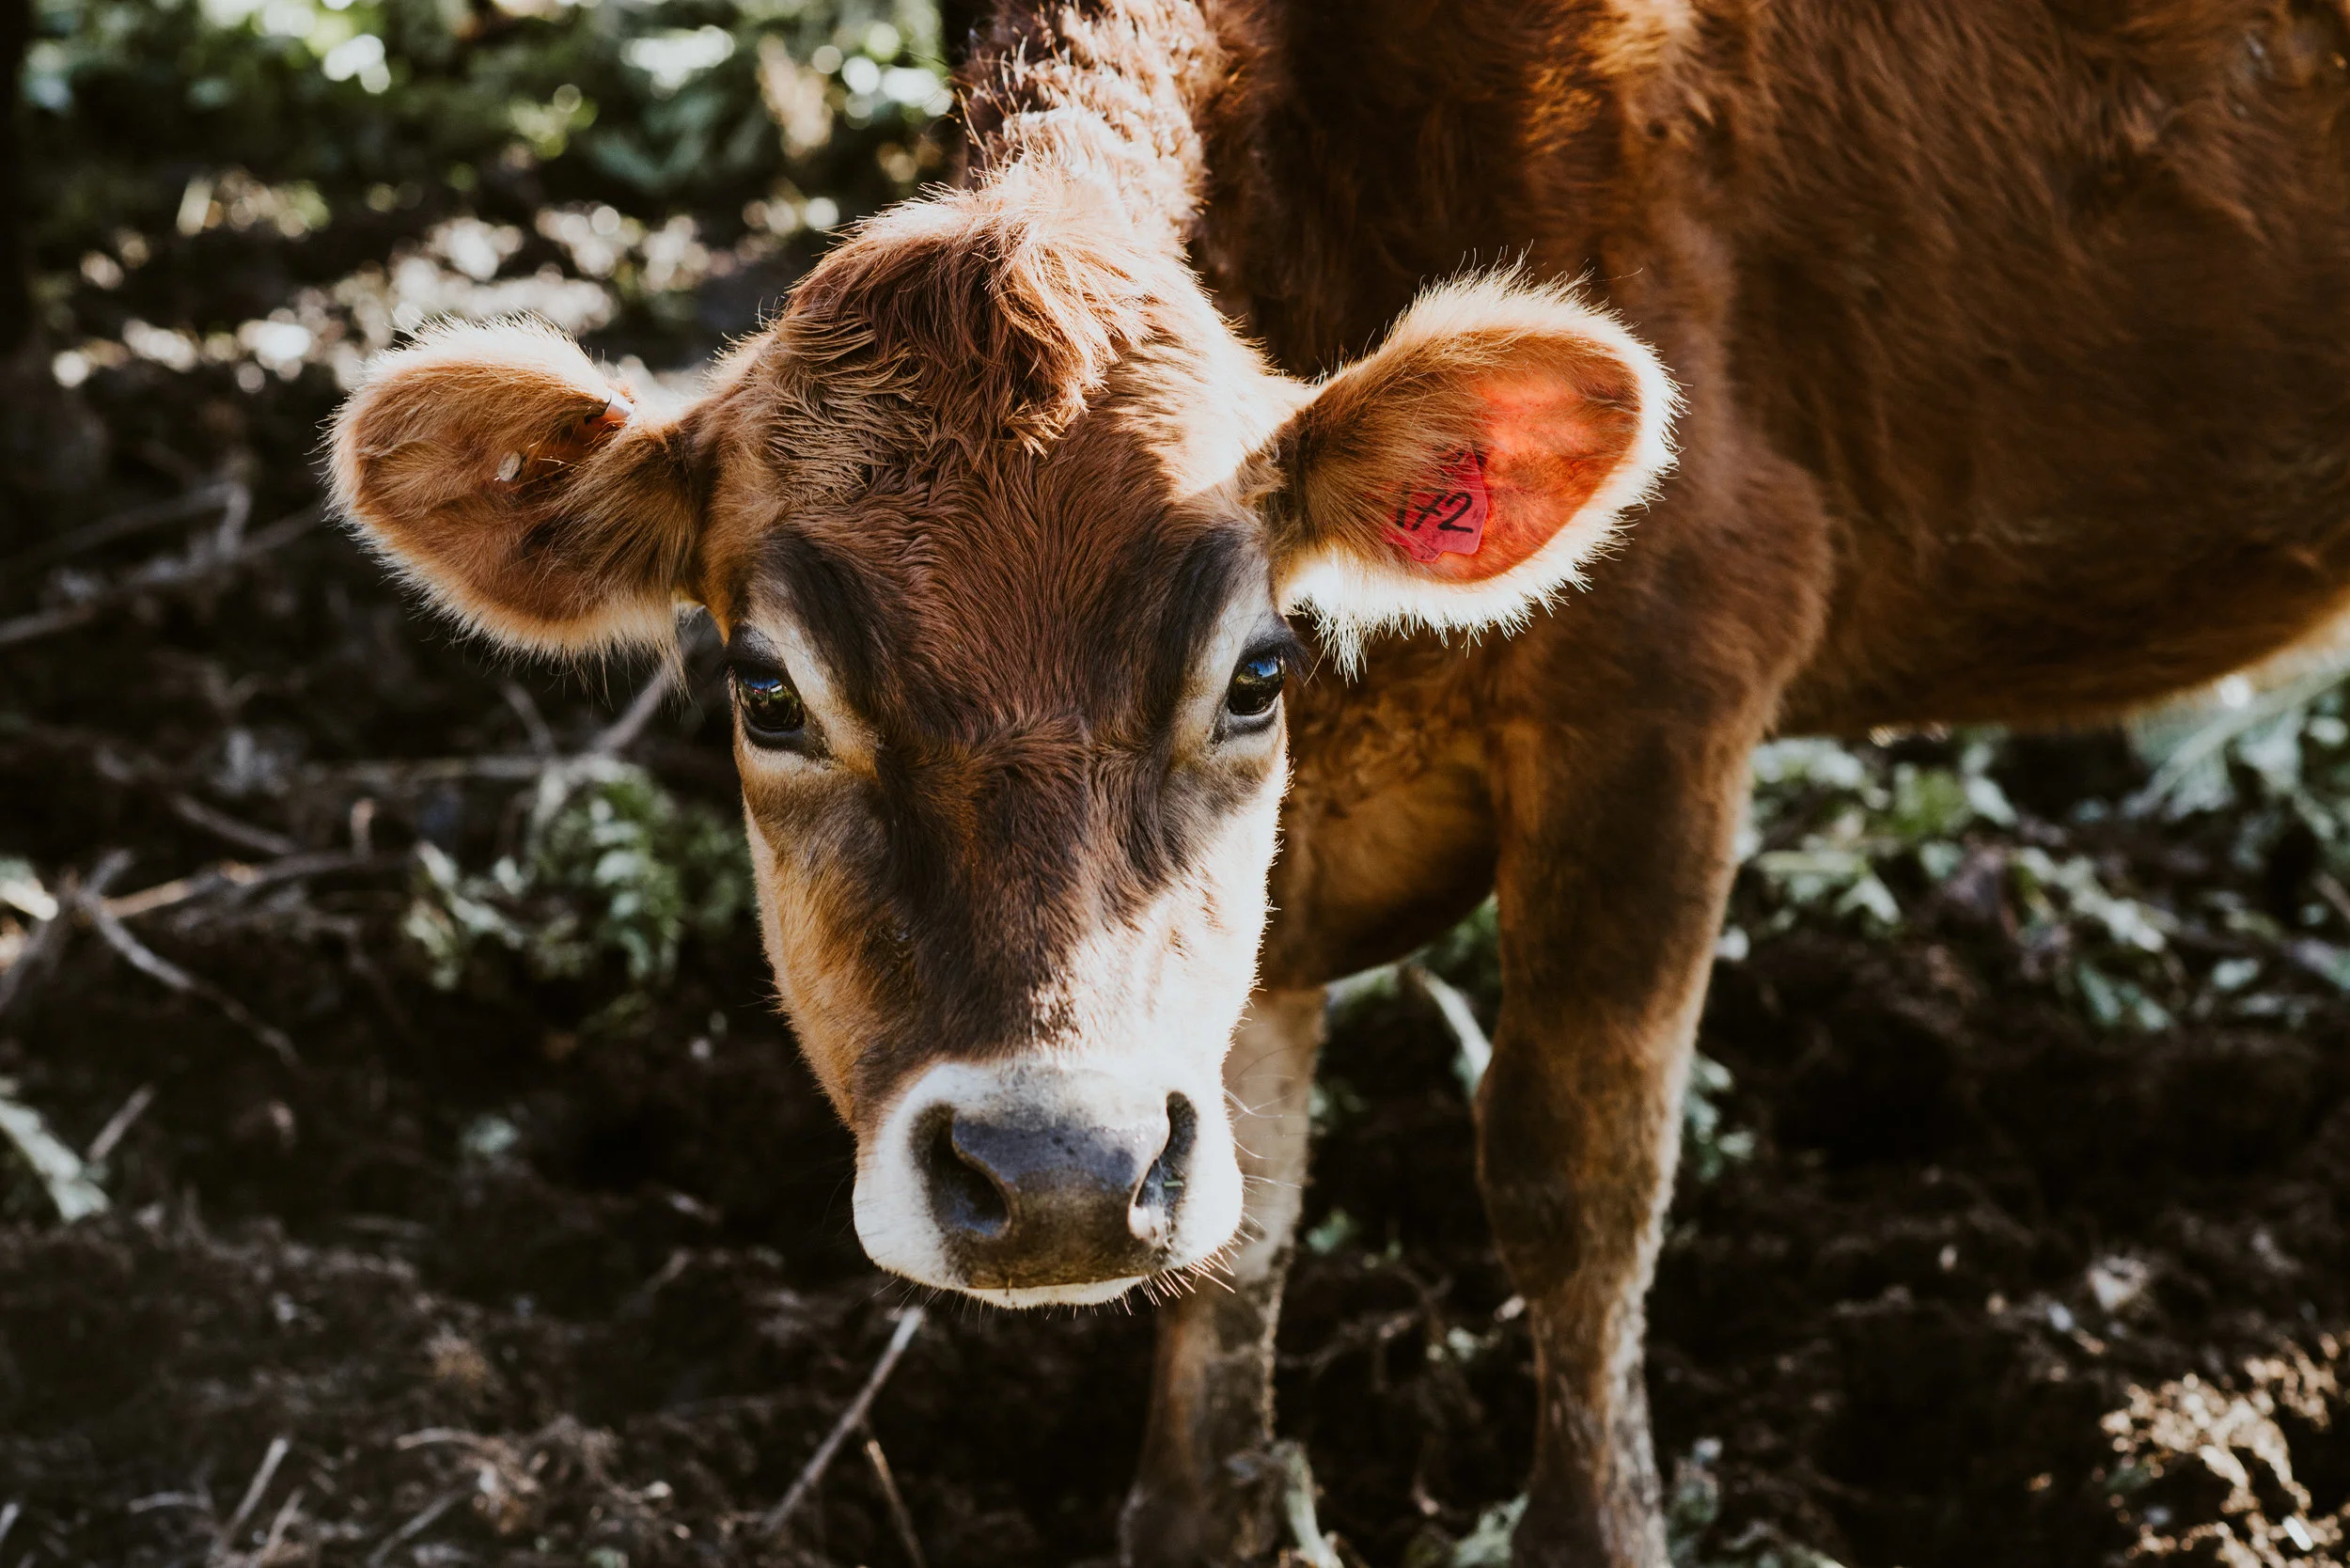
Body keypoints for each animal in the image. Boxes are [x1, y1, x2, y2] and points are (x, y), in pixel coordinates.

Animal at [327, 1, 2350, 1562]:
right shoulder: (1247, 943)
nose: (1050, 1172)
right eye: (764, 690)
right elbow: (1243, 1219)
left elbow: (1576, 1177)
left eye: (1255, 668)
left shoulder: (1670, 677)